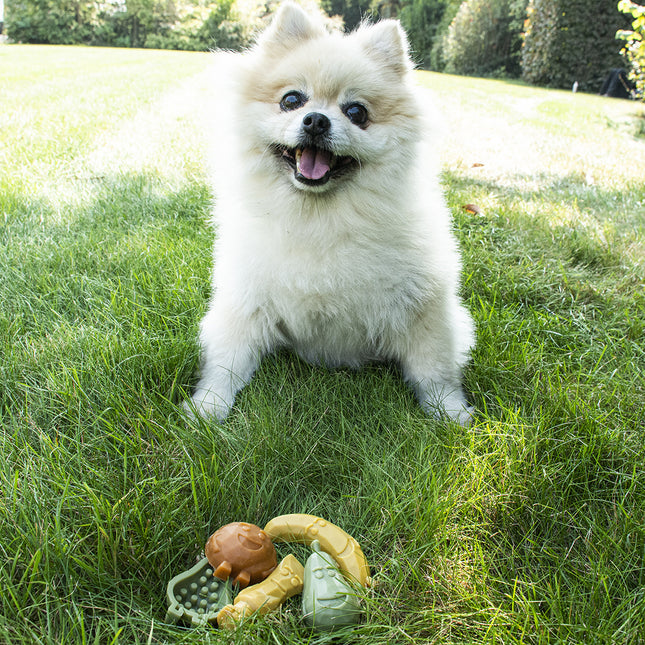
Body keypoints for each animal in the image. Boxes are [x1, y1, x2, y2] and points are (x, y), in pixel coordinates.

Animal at [185, 2, 472, 426]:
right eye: (291, 100)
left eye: (357, 112)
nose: (317, 120)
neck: (319, 218)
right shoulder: (246, 300)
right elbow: (228, 361)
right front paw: (209, 406)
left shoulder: (423, 308)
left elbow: (432, 368)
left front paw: (449, 412)